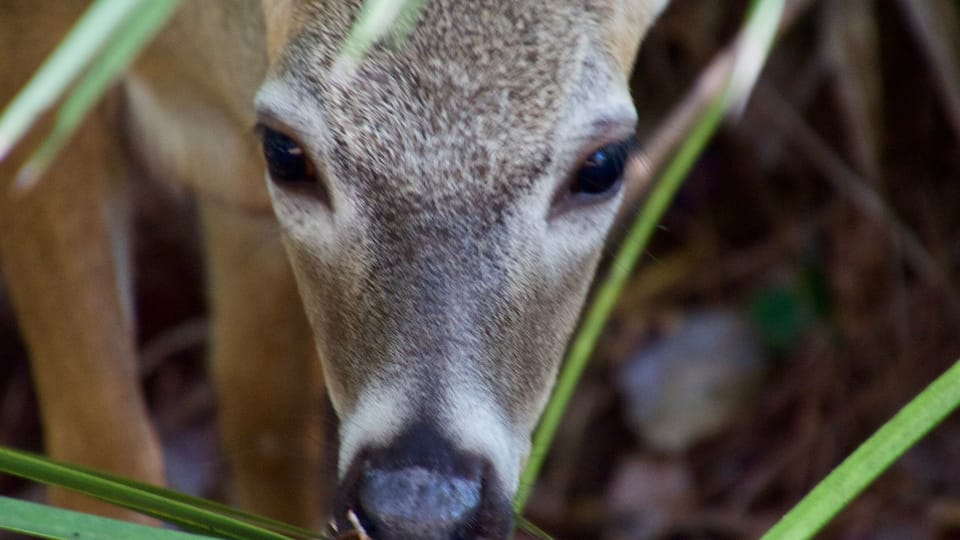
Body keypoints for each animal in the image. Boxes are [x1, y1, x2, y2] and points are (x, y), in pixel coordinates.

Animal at [0, 0, 669, 538]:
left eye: (603, 164)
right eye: (286, 152)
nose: (419, 503)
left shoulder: (241, 197)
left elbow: (265, 418)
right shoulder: (36, 63)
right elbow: (103, 451)